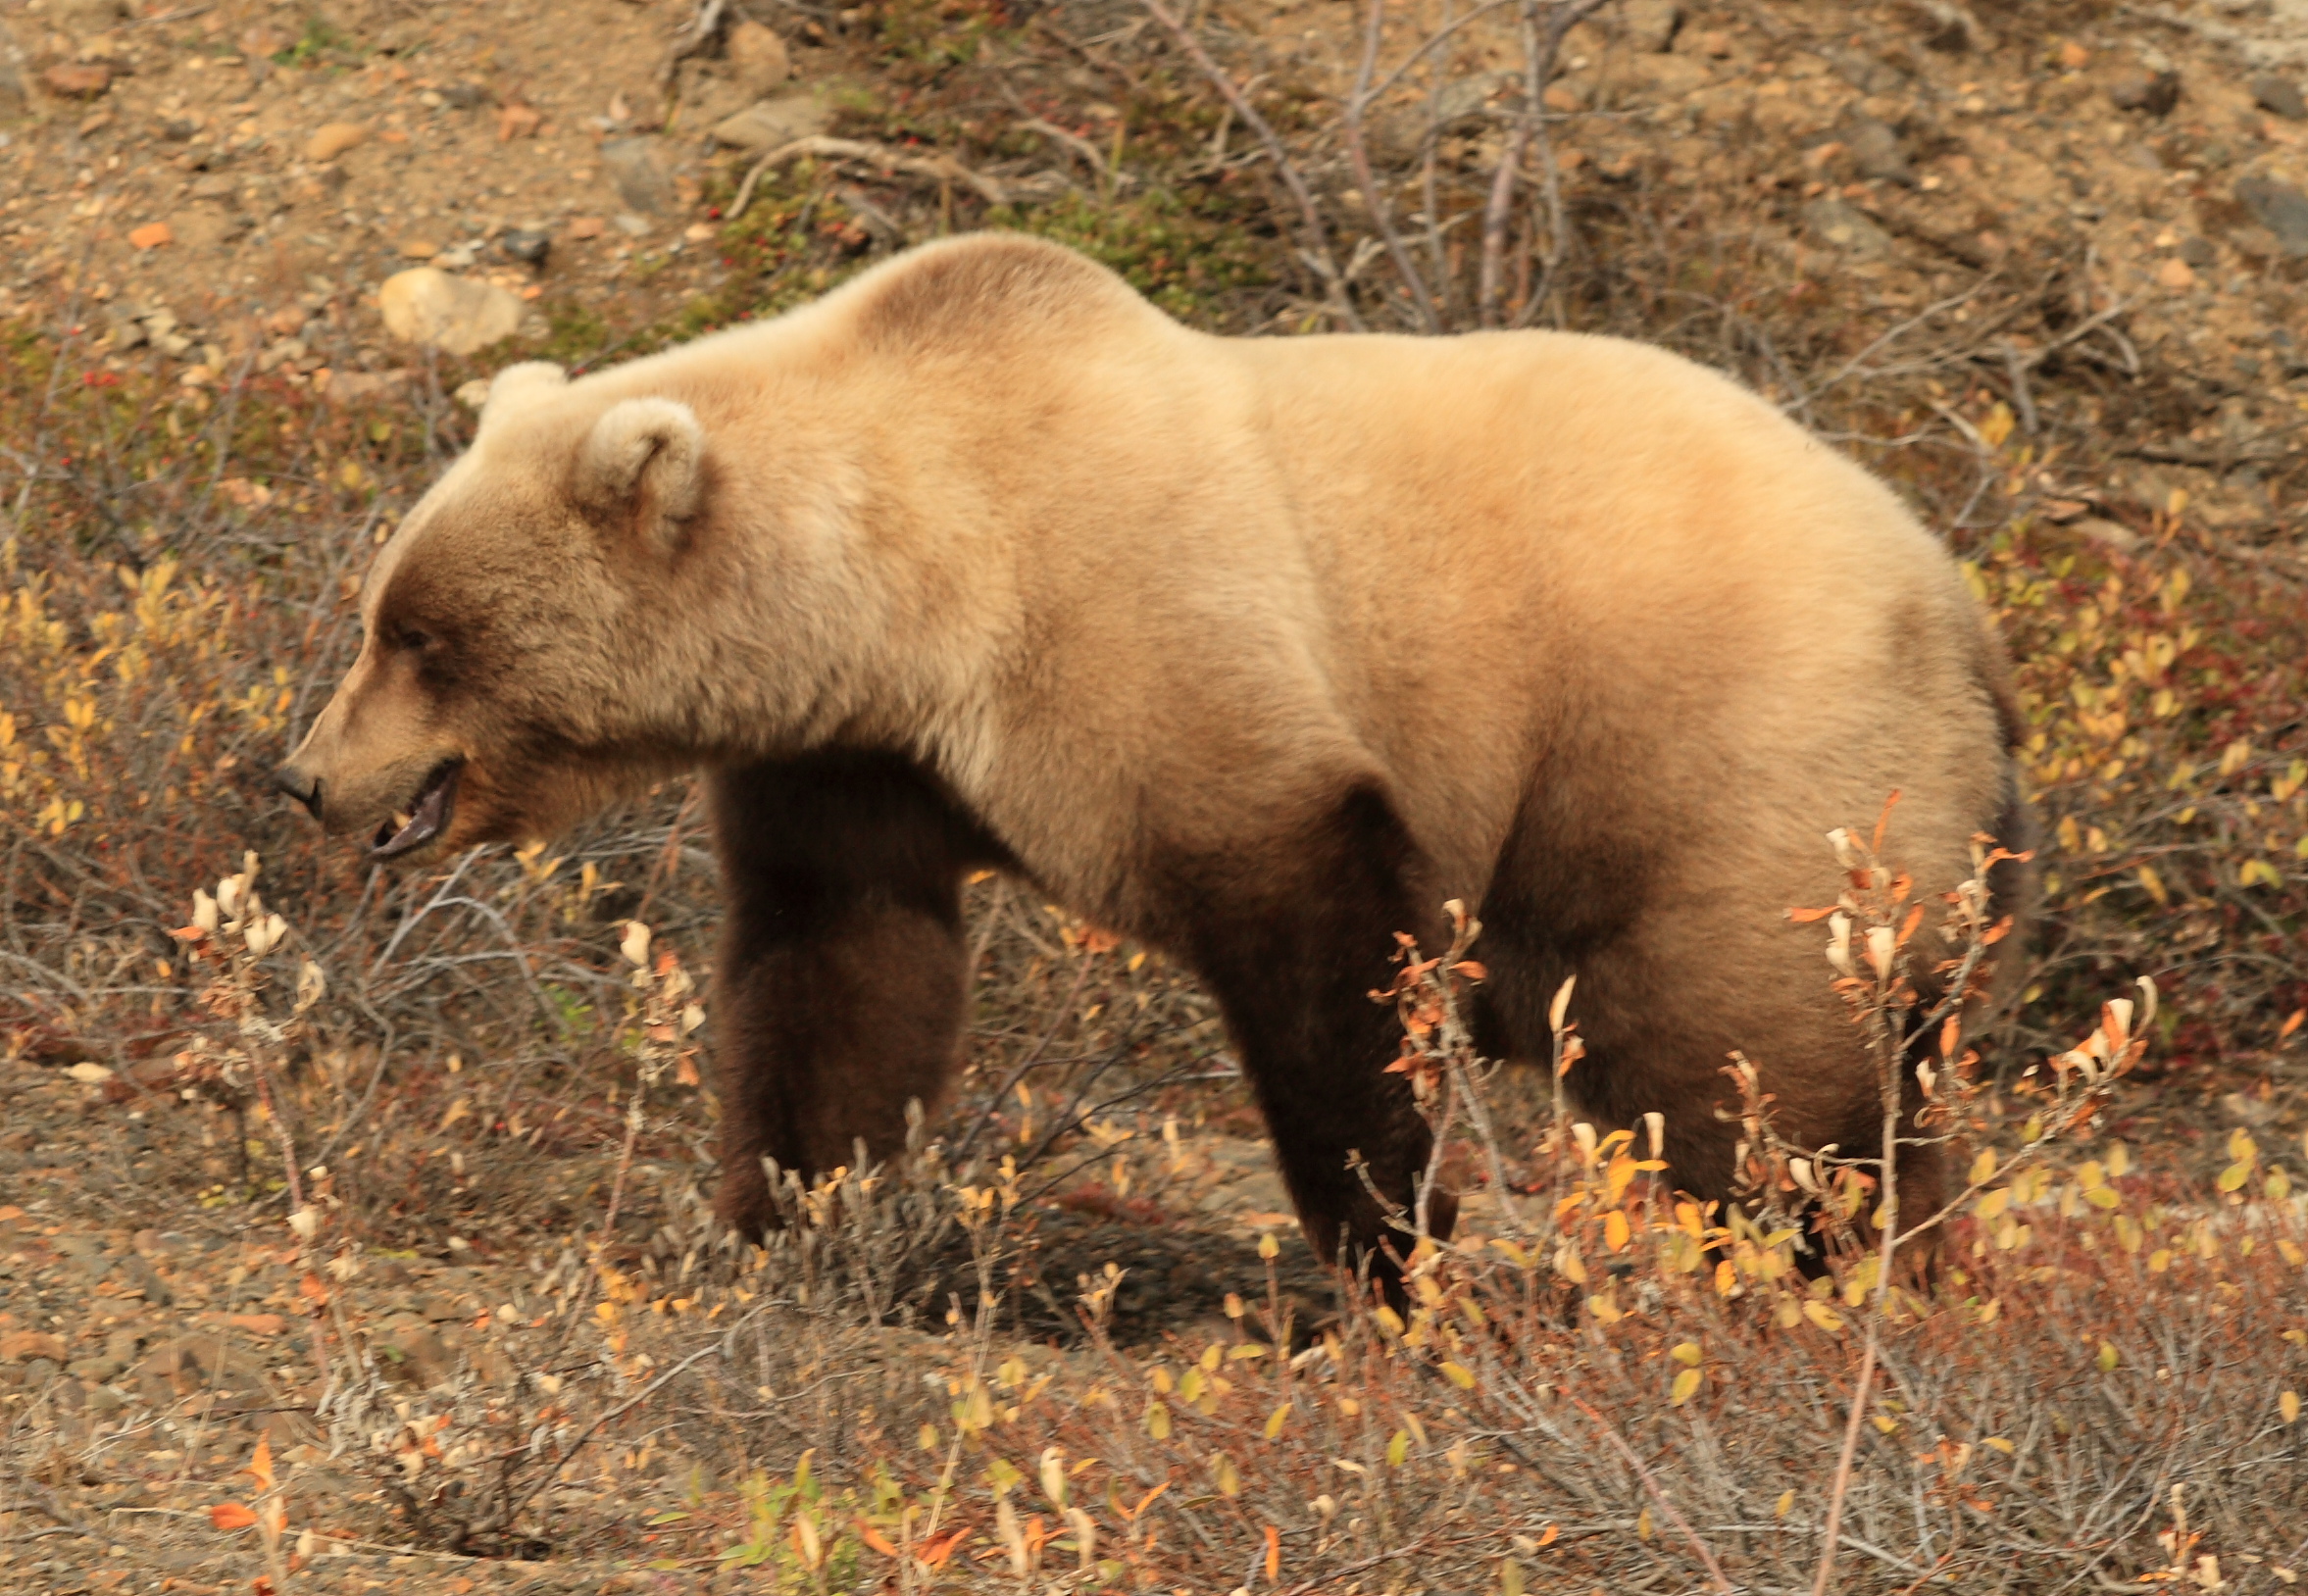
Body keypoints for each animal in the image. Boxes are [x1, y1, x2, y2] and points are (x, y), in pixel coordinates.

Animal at [278, 230, 2031, 1282]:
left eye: (422, 638)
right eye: (384, 615)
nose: (306, 776)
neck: (907, 587)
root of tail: (1963, 610)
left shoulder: (1132, 623)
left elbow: (1311, 916)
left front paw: (1393, 1249)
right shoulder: (858, 759)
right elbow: (838, 968)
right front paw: (786, 1218)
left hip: (1720, 755)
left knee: (1735, 1059)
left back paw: (1824, 1272)